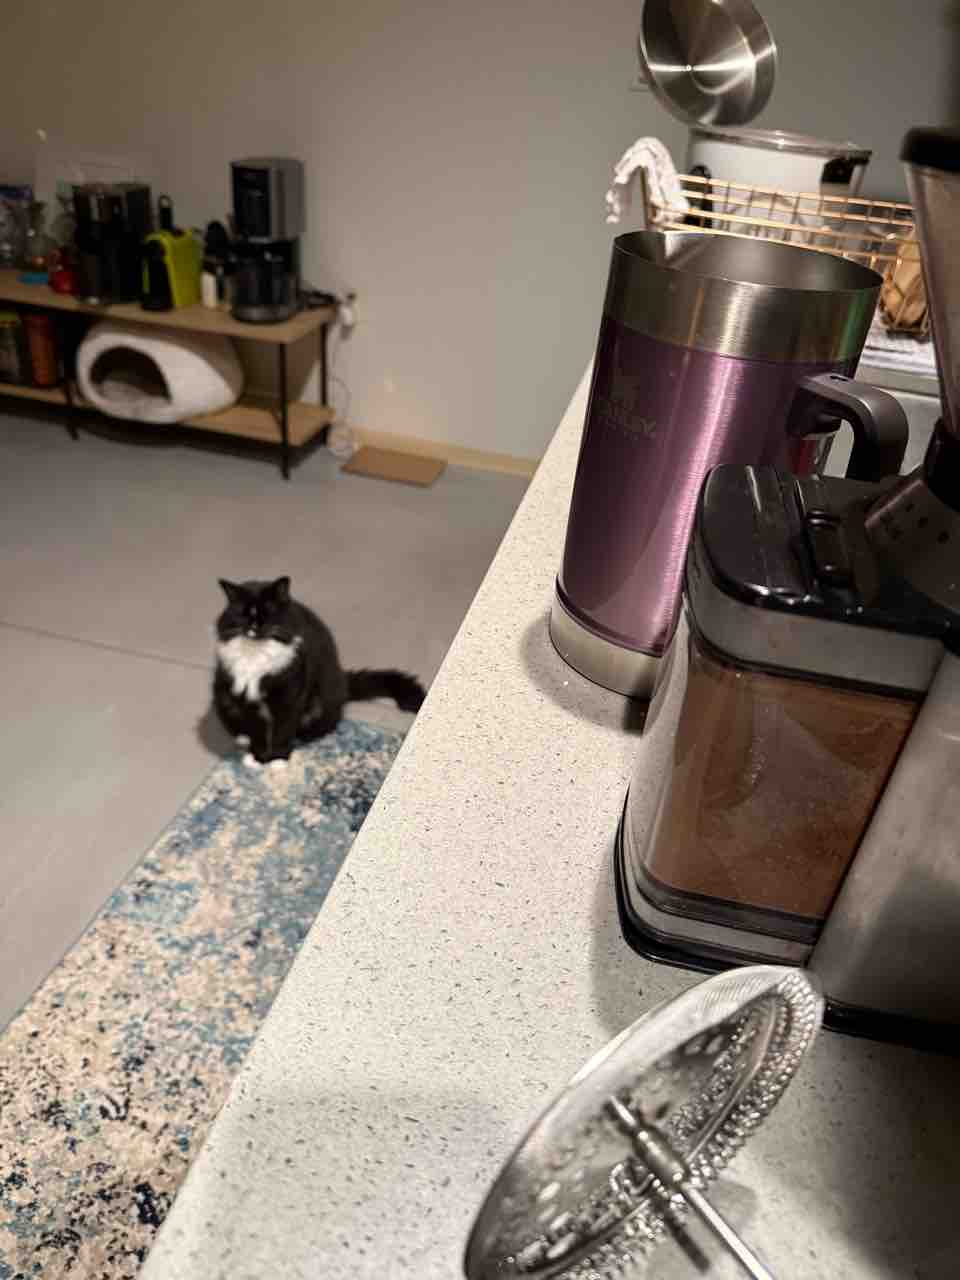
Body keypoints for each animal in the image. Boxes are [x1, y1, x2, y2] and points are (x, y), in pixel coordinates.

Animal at [213, 576, 425, 769]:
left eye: (269, 612)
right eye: (242, 613)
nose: (254, 627)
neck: (256, 654)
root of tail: (342, 681)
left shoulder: (289, 698)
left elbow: (282, 731)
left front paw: (278, 760)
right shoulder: (245, 701)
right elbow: (256, 731)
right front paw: (258, 758)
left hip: (319, 703)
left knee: (322, 726)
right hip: (221, 694)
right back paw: (242, 738)